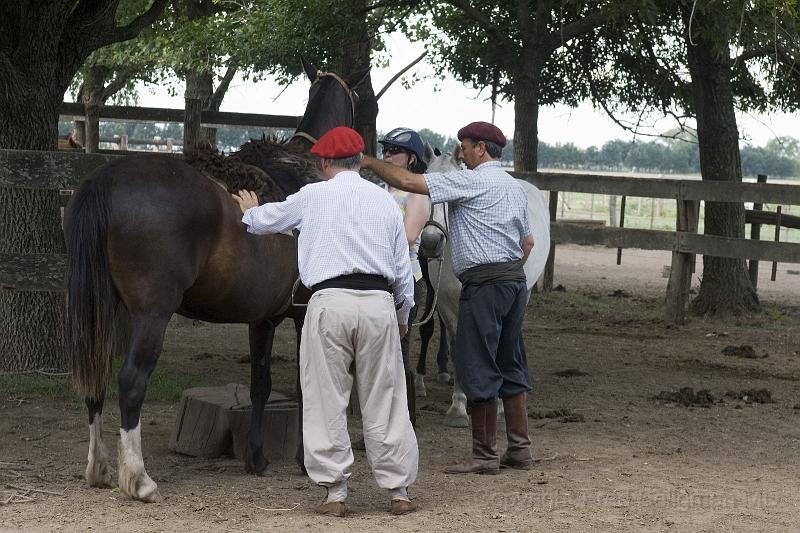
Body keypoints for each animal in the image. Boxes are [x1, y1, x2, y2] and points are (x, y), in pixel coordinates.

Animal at [65, 64, 368, 500]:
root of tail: (107, 178)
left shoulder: (263, 319)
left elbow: (261, 383)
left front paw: (257, 459)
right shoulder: (304, 312)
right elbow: (303, 385)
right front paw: (302, 460)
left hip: (101, 308)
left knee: (97, 377)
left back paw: (98, 467)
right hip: (152, 314)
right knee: (130, 381)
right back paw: (138, 477)